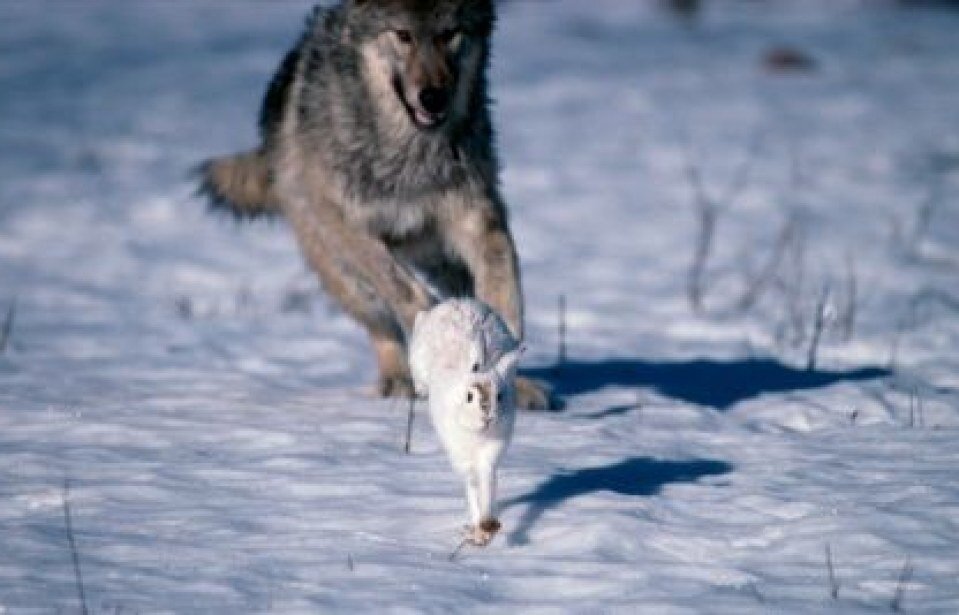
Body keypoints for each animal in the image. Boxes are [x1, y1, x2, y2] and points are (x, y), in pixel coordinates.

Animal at [197, 1, 556, 410]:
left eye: (449, 33)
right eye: (403, 35)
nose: (433, 98)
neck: (410, 155)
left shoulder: (478, 218)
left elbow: (502, 295)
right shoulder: (347, 225)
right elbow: (406, 292)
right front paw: (437, 330)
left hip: (443, 260)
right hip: (342, 273)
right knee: (383, 326)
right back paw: (399, 381)